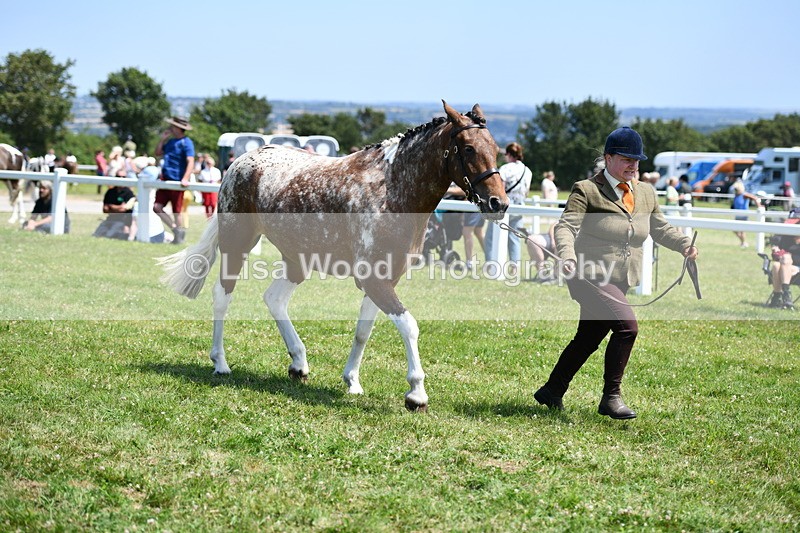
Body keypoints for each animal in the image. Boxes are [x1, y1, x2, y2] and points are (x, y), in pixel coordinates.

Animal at [159, 101, 509, 411]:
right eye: (468, 148)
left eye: (494, 148)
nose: (498, 203)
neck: (392, 189)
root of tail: (242, 160)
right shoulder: (374, 279)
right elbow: (409, 325)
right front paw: (416, 394)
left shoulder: (385, 278)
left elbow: (363, 331)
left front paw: (352, 380)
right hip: (238, 244)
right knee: (223, 295)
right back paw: (220, 363)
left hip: (297, 260)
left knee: (274, 299)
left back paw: (299, 363)